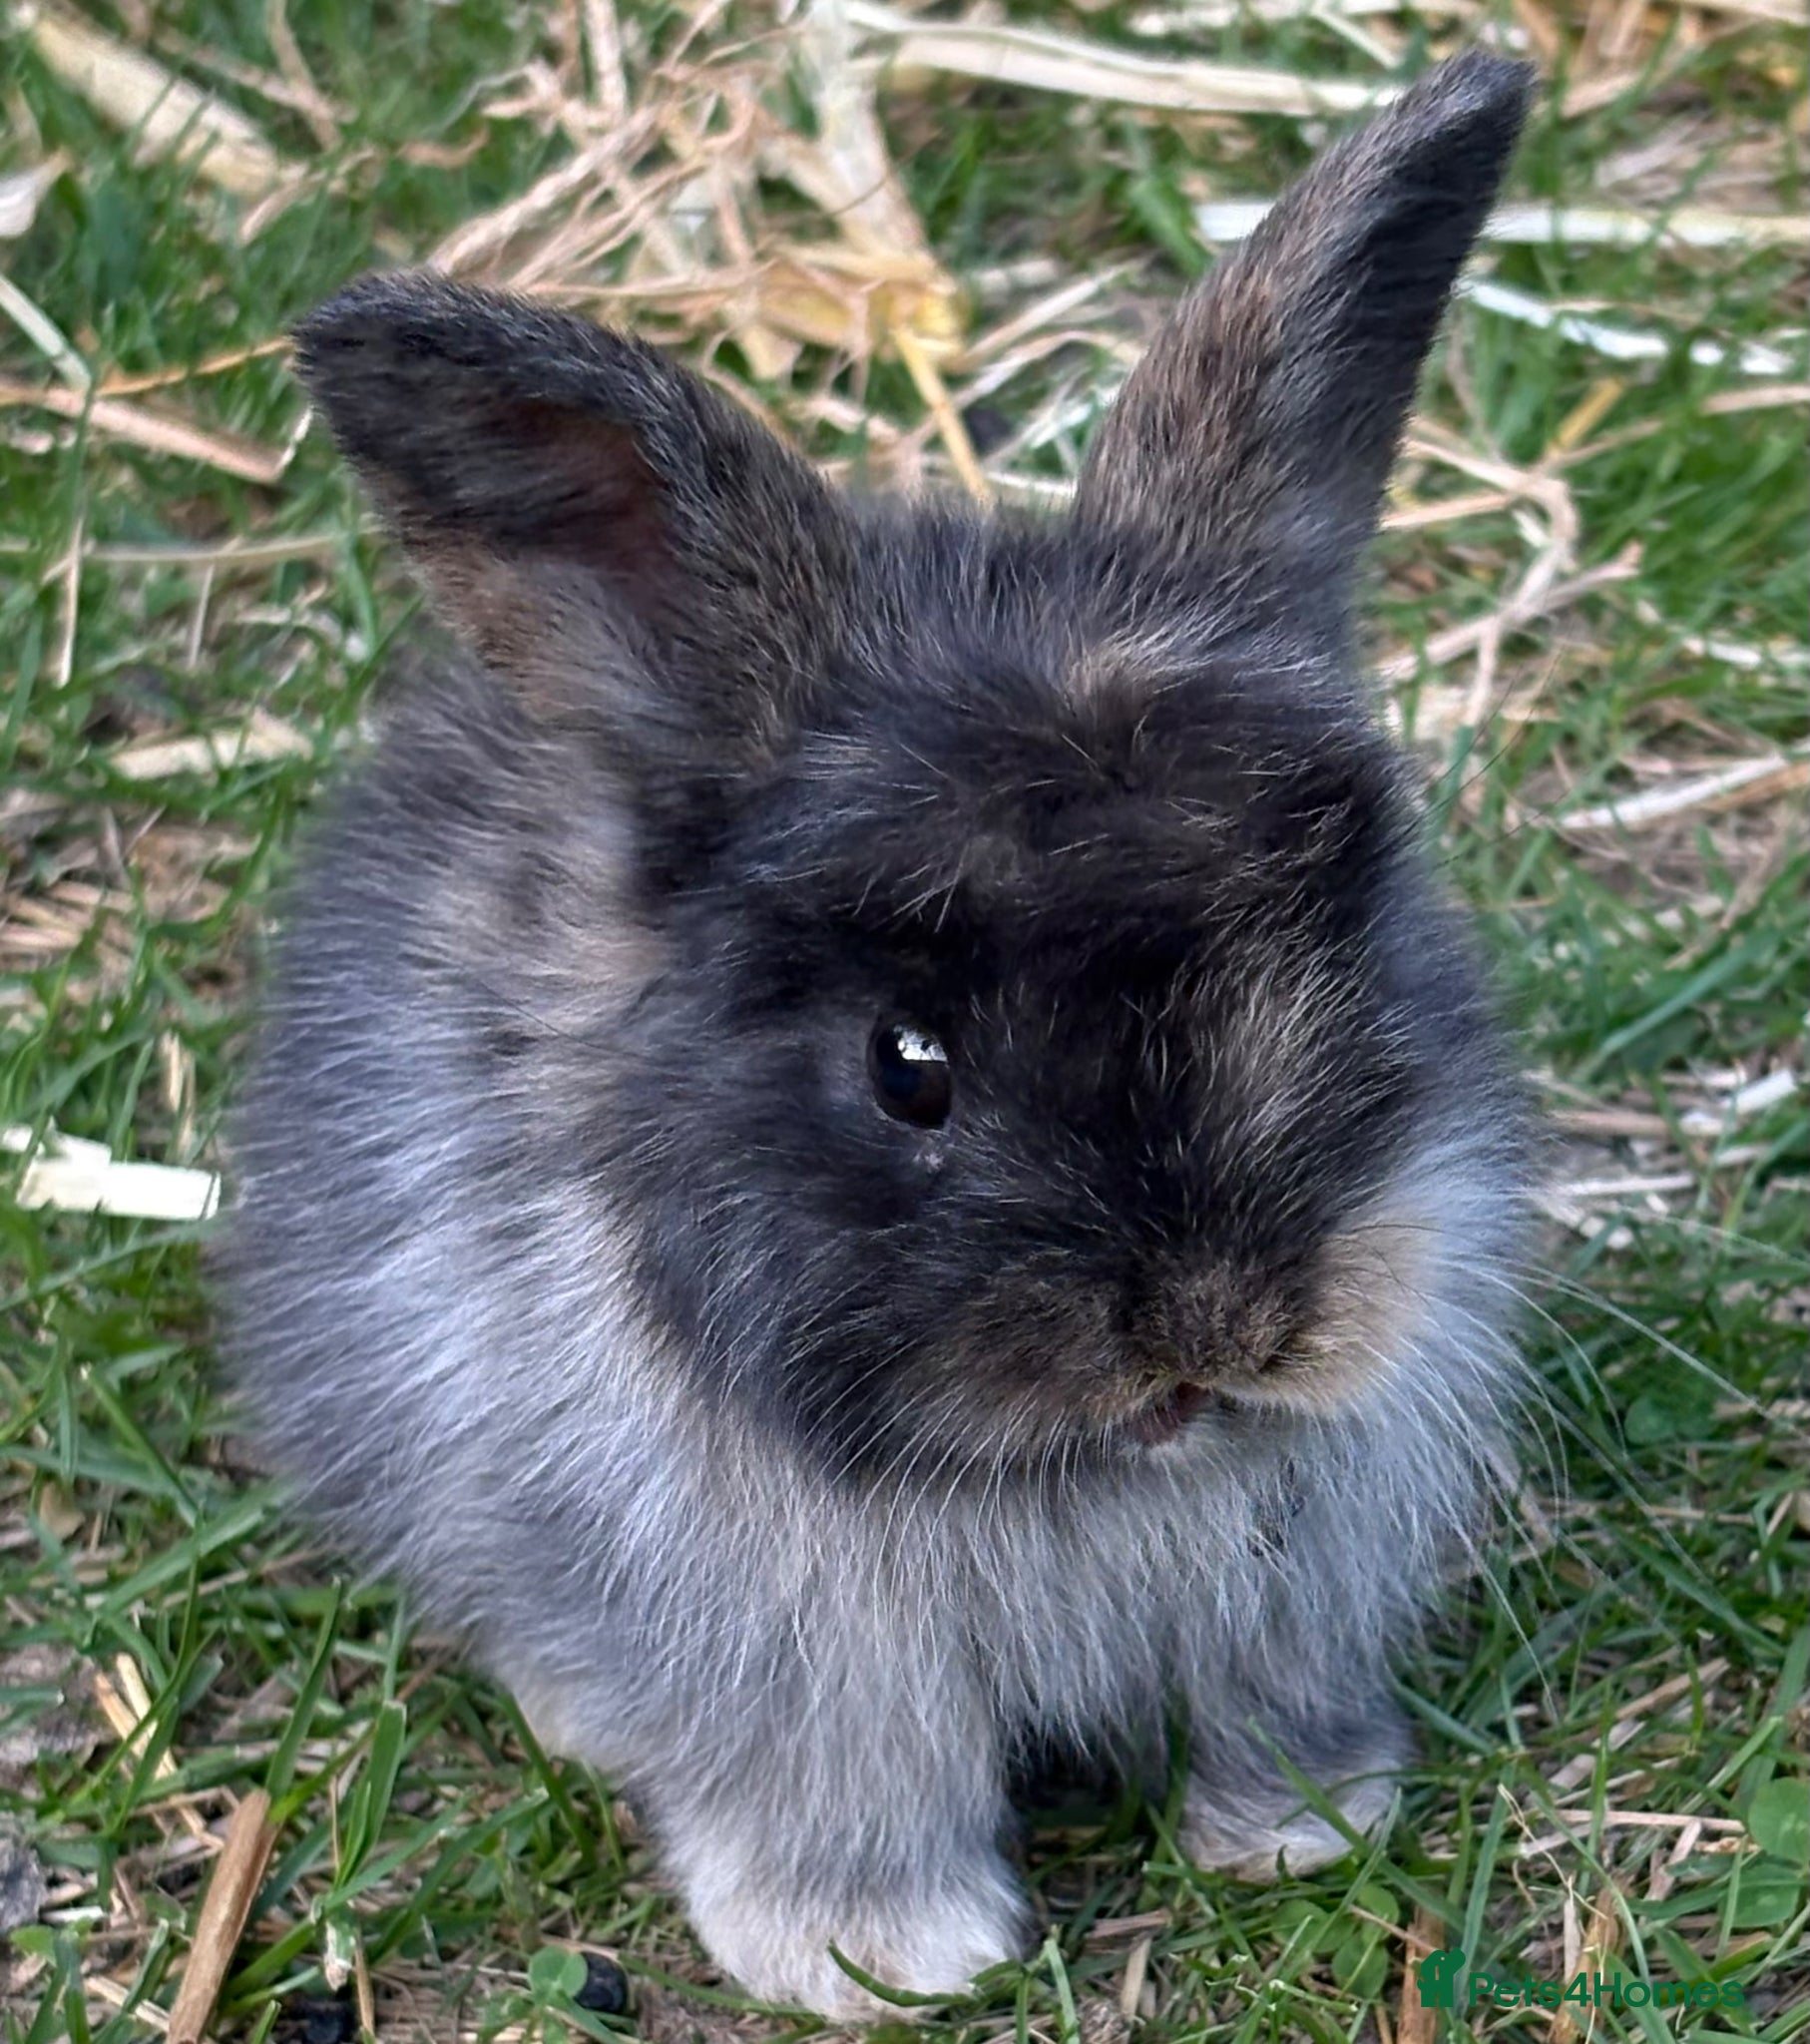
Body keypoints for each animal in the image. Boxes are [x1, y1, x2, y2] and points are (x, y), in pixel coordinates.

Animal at [224, 51, 1537, 2017]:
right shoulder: (799, 1677)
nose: (1216, 1333)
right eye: (904, 1067)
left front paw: (1300, 1825)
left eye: (1341, 937)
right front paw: (878, 1959)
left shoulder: (1284, 1601)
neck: (1087, 1476)